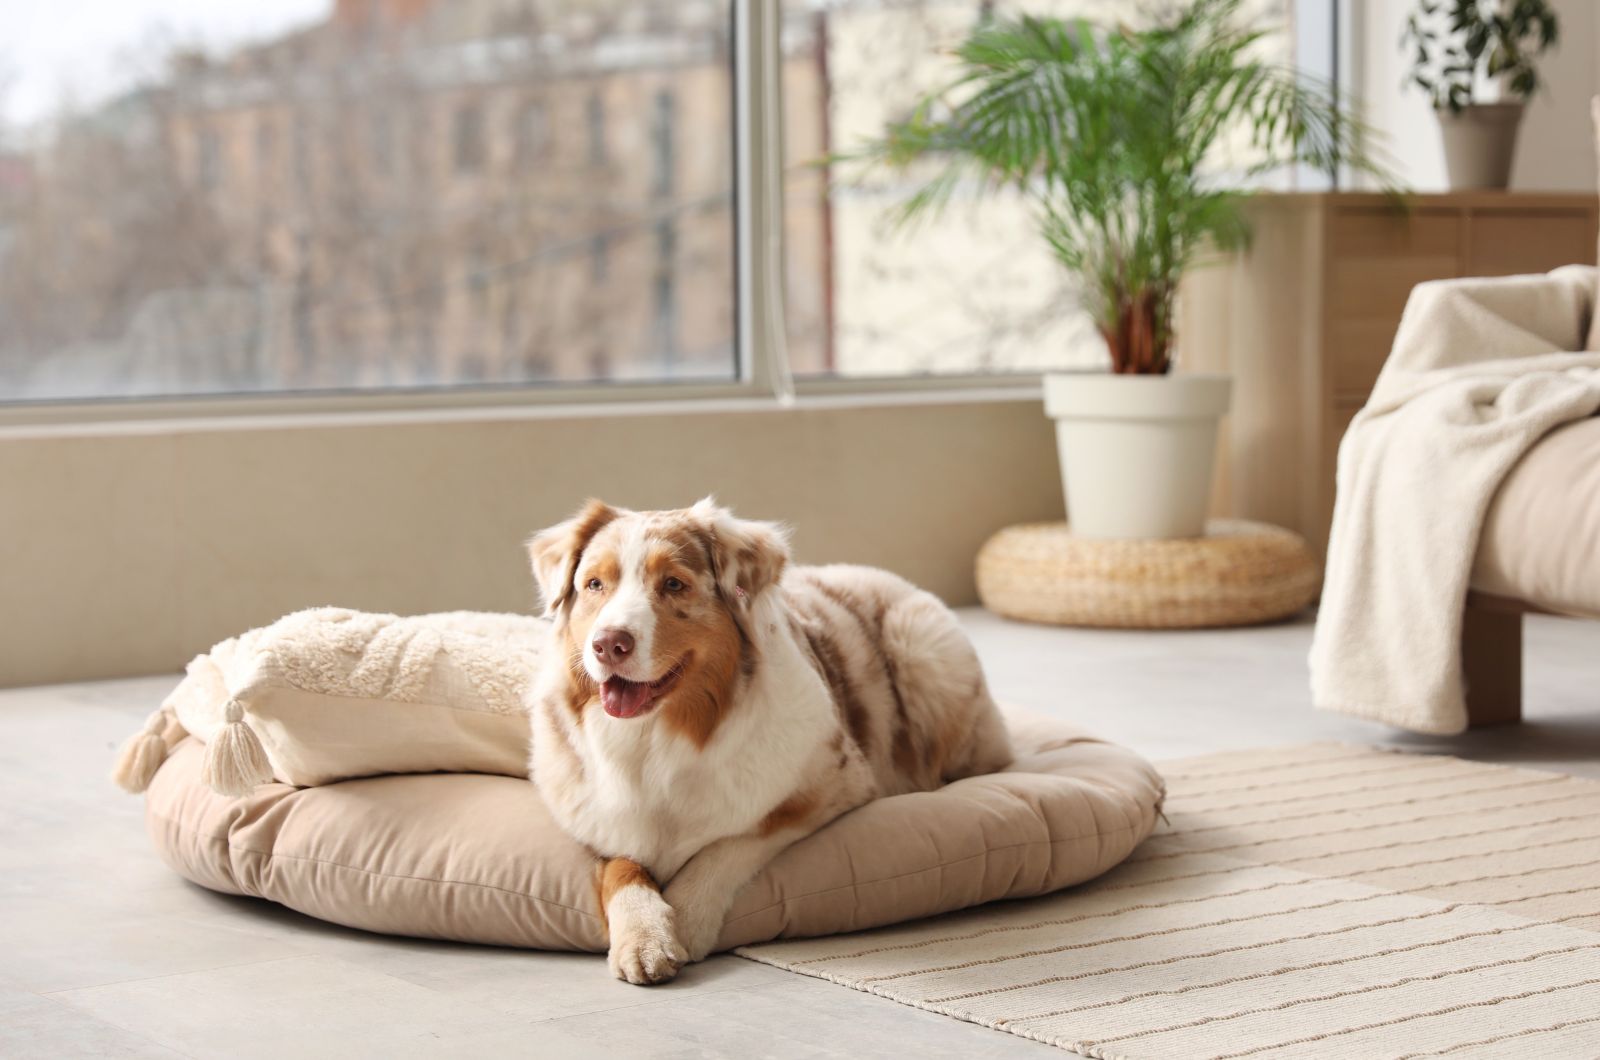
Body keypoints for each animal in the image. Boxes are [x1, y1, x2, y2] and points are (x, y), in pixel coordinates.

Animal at [521, 499, 1011, 986]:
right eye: (594, 584)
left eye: (674, 584)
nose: (608, 644)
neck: (657, 739)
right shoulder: (596, 820)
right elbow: (622, 868)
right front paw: (643, 937)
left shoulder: (835, 782)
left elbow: (731, 843)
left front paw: (685, 920)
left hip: (922, 650)